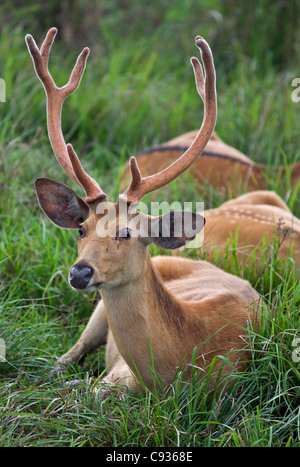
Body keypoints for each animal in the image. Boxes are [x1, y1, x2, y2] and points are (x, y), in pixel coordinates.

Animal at [25, 28, 260, 394]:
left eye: (126, 233)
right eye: (81, 229)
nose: (80, 272)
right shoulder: (118, 372)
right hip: (96, 315)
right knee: (65, 359)